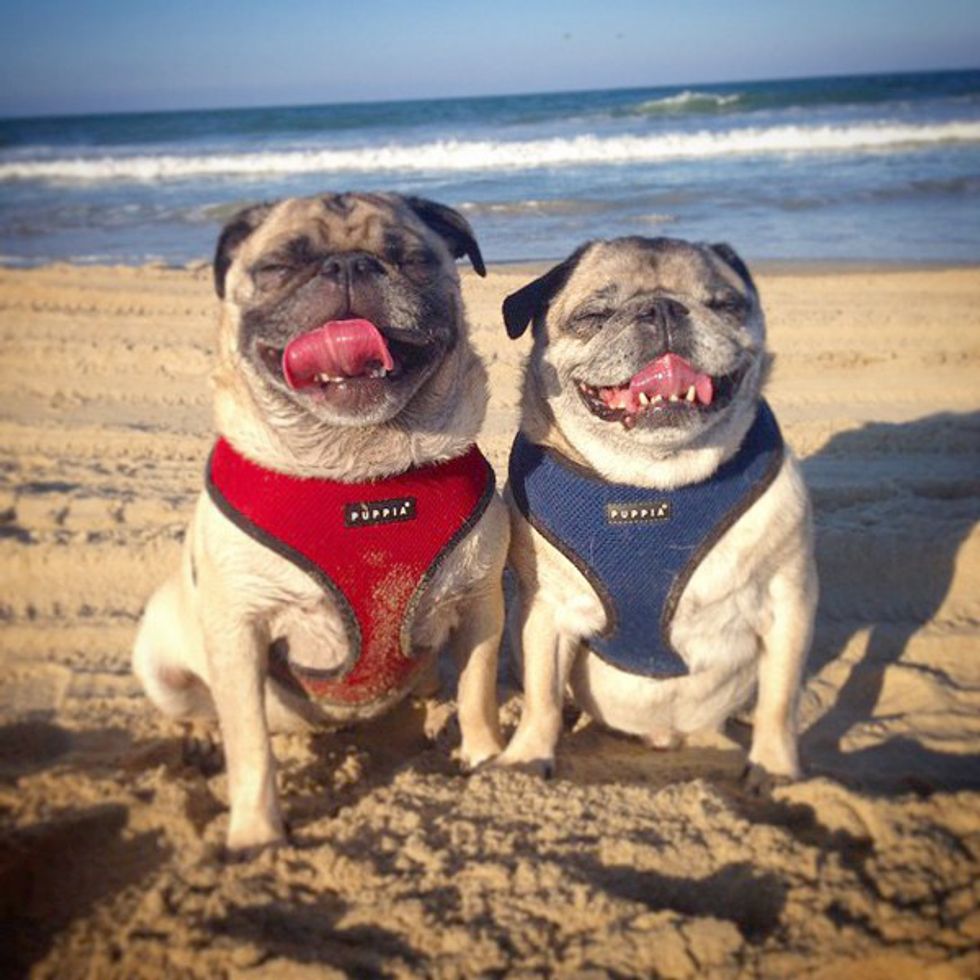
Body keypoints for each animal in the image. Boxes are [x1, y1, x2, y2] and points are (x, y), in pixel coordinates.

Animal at [133, 192, 508, 853]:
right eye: (278, 267)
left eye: (411, 259)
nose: (349, 265)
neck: (358, 474)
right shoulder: (240, 632)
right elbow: (250, 746)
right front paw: (257, 835)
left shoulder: (480, 603)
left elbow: (478, 690)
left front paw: (485, 755)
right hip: (160, 658)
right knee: (204, 709)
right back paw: (201, 739)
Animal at [495, 236, 816, 786]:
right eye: (594, 315)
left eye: (726, 305)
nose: (663, 308)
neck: (653, 483)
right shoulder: (545, 611)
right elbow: (541, 697)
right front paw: (527, 757)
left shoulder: (787, 600)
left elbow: (779, 699)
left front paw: (774, 769)